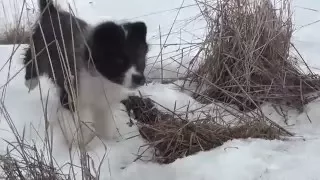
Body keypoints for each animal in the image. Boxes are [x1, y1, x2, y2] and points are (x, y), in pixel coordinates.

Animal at [23, 0, 149, 146]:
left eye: (140, 60)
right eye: (119, 61)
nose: (139, 79)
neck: (101, 80)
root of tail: (52, 12)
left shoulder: (104, 104)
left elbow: (105, 125)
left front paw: (106, 141)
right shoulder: (71, 96)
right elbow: (80, 125)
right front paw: (79, 143)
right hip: (39, 49)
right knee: (30, 59)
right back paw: (30, 82)